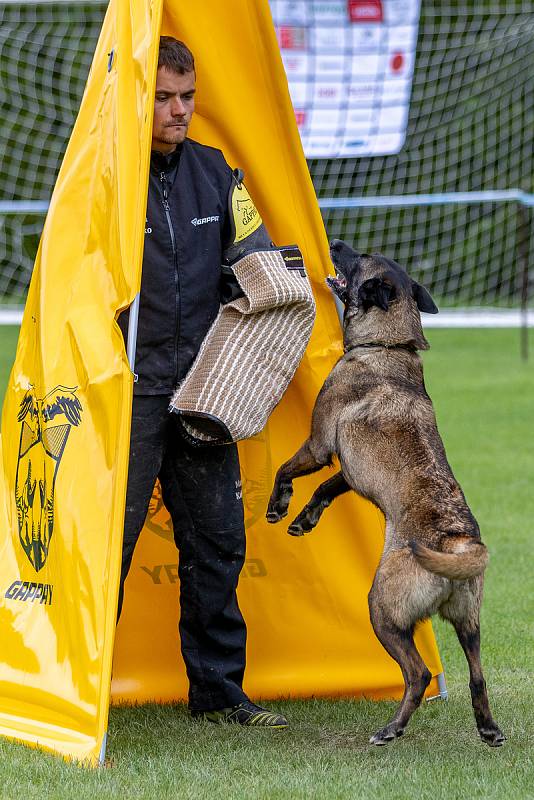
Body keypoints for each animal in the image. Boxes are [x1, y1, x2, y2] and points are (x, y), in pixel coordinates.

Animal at [268, 241, 506, 748]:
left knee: (417, 673)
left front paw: (280, 507)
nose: (337, 245)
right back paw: (489, 729)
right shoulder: (349, 471)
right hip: (469, 624)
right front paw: (304, 519)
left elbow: (289, 470)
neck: (388, 346)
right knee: (477, 676)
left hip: (383, 610)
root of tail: (459, 543)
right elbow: (326, 488)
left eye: (359, 258)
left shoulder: (318, 445)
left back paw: (391, 729)